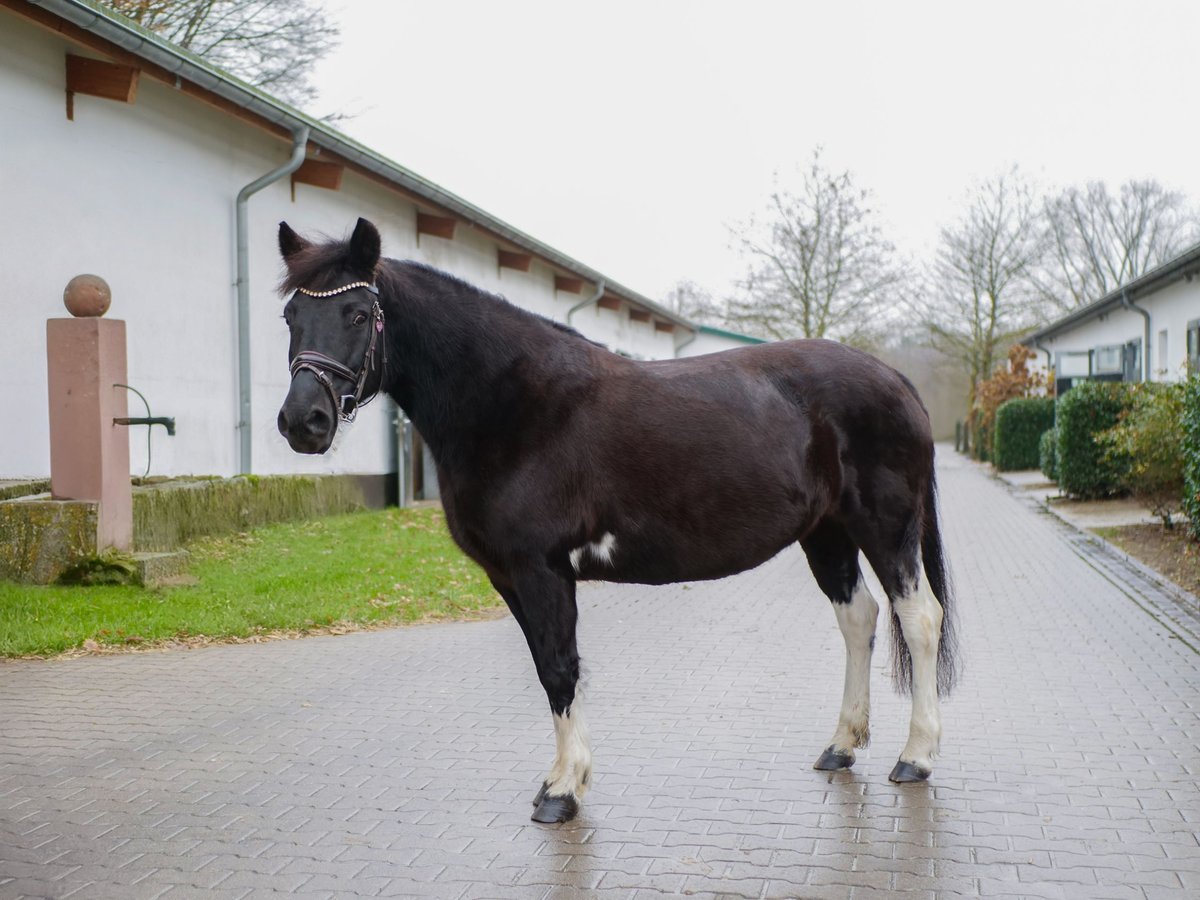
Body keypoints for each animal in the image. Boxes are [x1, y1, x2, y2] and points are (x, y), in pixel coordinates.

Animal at [274, 218, 959, 824]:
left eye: (357, 314)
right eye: (290, 317)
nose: (302, 422)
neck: (513, 405)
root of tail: (895, 379)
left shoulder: (543, 571)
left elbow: (559, 667)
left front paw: (562, 793)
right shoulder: (508, 576)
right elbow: (548, 670)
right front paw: (560, 779)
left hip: (885, 528)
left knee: (919, 618)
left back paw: (916, 757)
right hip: (826, 534)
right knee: (859, 618)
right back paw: (842, 746)